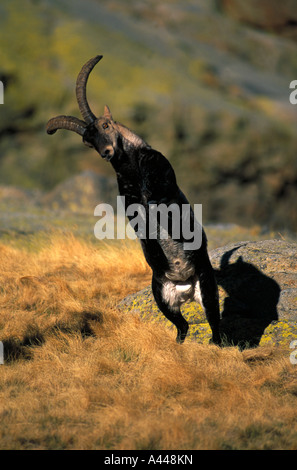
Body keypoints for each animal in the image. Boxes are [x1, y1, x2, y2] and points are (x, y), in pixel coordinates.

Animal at [46, 55, 220, 344]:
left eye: (106, 125)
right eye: (88, 141)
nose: (106, 152)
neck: (133, 167)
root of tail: (185, 288)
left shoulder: (160, 179)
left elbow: (160, 203)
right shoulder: (128, 197)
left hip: (207, 284)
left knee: (215, 324)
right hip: (162, 297)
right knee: (182, 326)